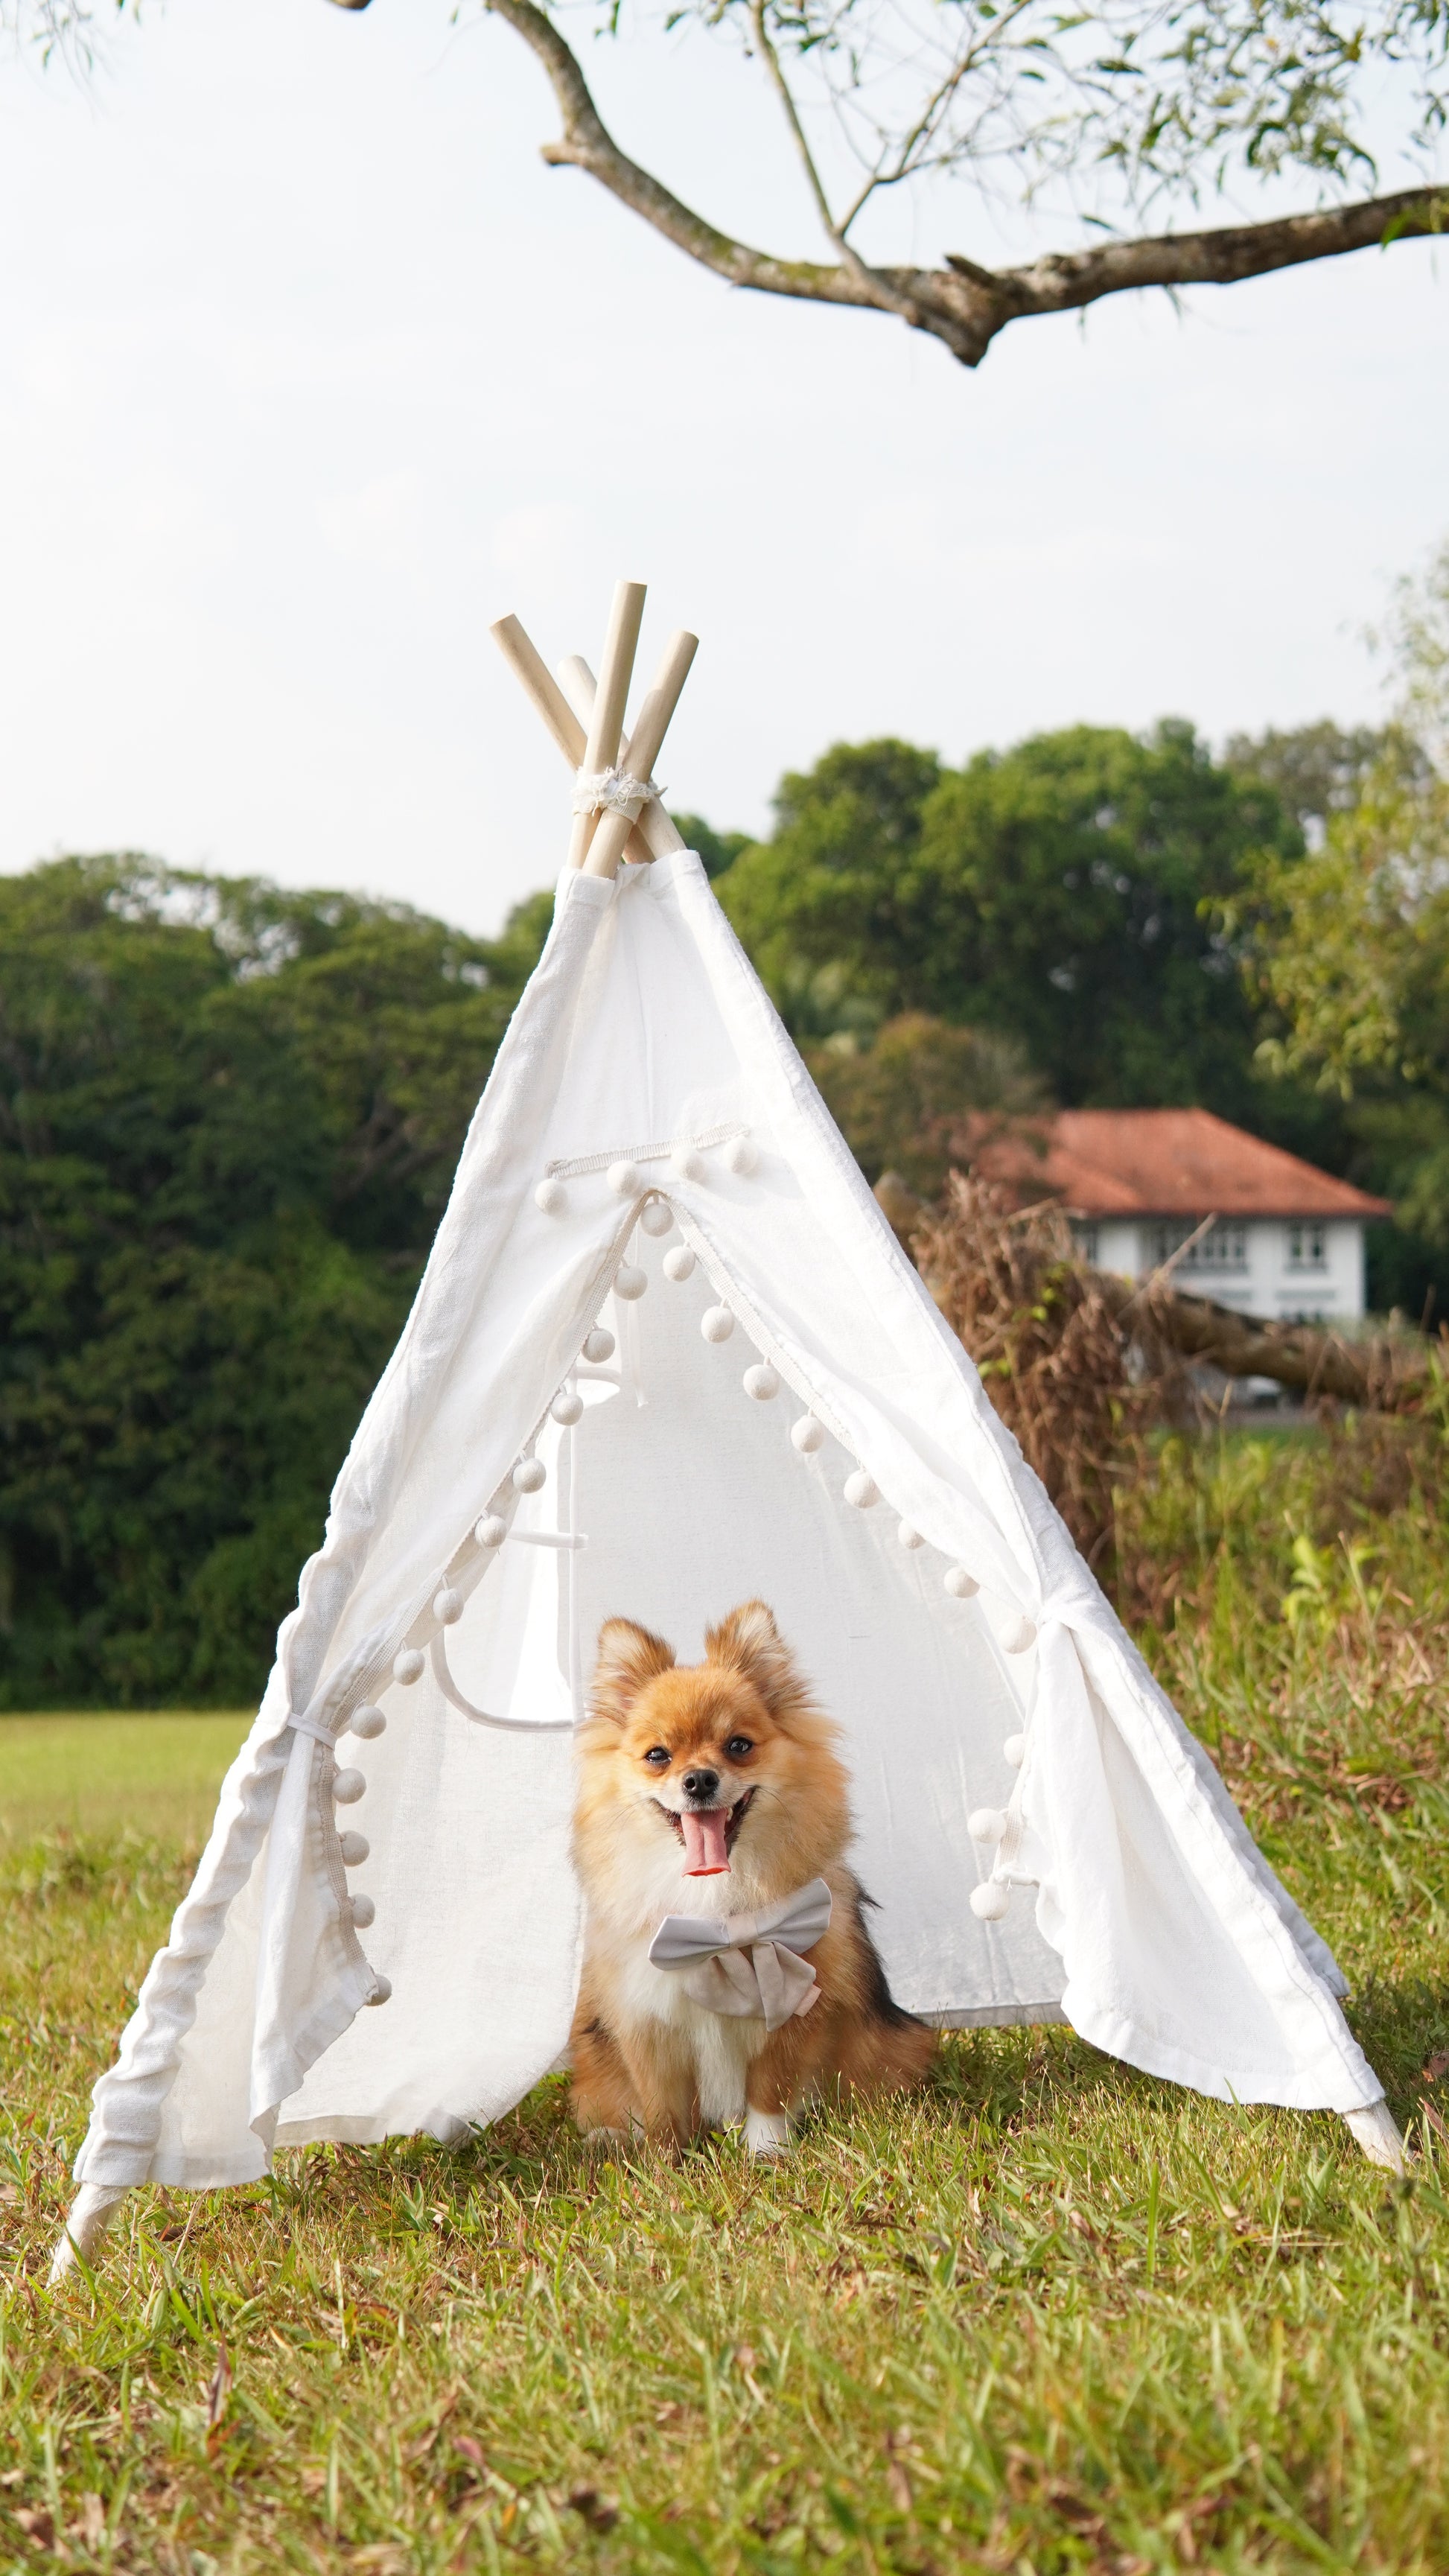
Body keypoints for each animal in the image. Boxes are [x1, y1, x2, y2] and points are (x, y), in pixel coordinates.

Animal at [563, 1597, 932, 2143]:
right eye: (657, 1756)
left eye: (738, 1746)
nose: (698, 1779)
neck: (713, 1899)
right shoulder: (647, 2020)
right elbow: (662, 2108)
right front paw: (665, 2158)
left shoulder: (797, 2004)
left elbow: (769, 2088)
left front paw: (765, 2148)